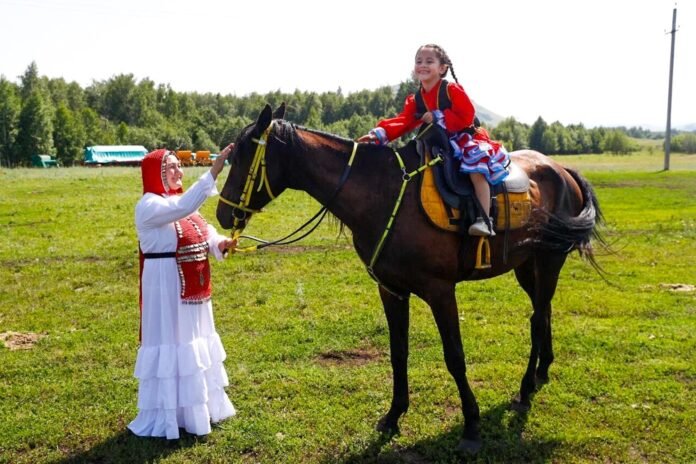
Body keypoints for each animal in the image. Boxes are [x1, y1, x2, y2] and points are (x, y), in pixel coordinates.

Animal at [218, 104, 604, 454]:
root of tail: (561, 169)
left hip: (550, 259)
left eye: (242, 155)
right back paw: (541, 371)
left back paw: (525, 388)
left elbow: (454, 356)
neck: (384, 194)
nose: (222, 213)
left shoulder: (440, 291)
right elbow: (398, 352)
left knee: (538, 319)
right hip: (527, 266)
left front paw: (472, 426)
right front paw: (393, 416)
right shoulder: (391, 290)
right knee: (544, 312)